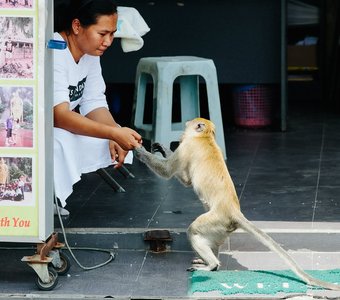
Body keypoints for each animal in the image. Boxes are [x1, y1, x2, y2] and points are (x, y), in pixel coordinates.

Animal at [133, 117, 340, 290]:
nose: (184, 130)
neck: (206, 138)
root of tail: (233, 211)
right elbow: (186, 180)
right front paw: (161, 149)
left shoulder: (187, 147)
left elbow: (169, 172)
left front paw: (140, 151)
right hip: (220, 227)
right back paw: (212, 262)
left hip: (216, 219)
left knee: (193, 230)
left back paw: (212, 265)